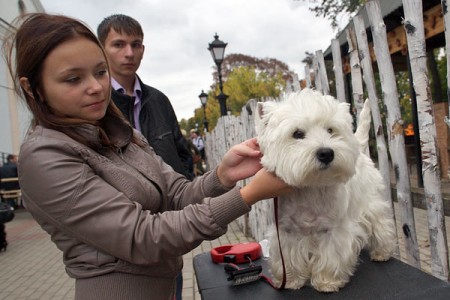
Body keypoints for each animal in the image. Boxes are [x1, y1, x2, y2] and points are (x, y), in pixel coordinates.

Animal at [255, 89, 396, 292]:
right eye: (297, 134)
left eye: (330, 130)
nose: (326, 153)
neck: (310, 187)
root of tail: (360, 150)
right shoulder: (285, 232)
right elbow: (288, 260)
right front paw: (291, 281)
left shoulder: (333, 230)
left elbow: (331, 256)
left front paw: (327, 282)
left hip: (371, 203)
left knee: (381, 225)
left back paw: (382, 253)